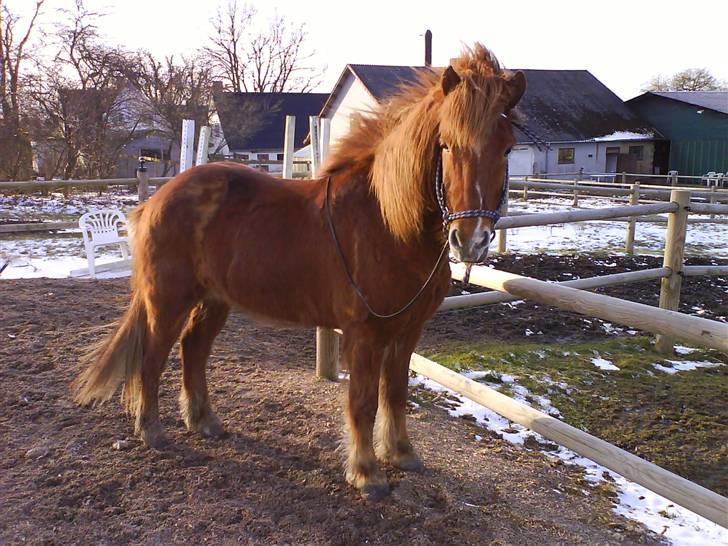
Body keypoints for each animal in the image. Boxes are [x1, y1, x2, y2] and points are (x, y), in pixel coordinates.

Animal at [74, 45, 528, 498]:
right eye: (447, 145)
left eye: (507, 149)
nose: (470, 240)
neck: (387, 221)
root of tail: (155, 200)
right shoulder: (364, 334)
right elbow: (363, 400)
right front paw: (367, 472)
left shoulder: (408, 331)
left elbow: (396, 393)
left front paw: (401, 453)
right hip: (167, 301)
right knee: (151, 357)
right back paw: (151, 431)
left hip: (214, 300)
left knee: (193, 349)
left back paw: (204, 422)